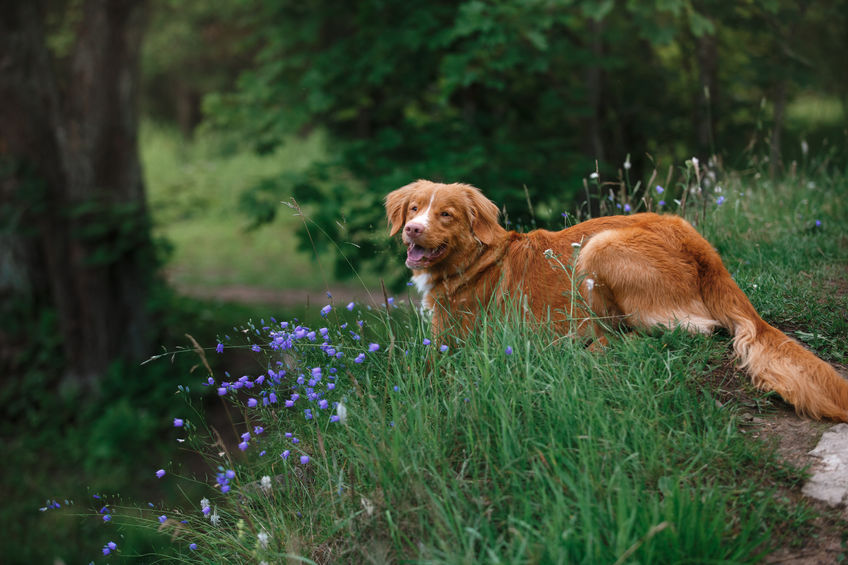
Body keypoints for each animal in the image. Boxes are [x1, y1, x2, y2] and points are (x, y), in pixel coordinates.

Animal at [386, 178, 848, 420]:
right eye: (413, 209)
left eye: (445, 214)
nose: (412, 229)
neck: (476, 258)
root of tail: (701, 248)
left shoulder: (452, 344)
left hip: (599, 249)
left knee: (675, 332)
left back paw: (576, 351)